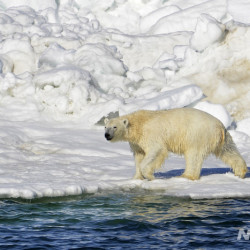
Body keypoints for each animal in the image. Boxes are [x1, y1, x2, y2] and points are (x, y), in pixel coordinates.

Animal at [104, 108, 247, 181]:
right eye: (106, 127)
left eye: (114, 127)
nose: (107, 135)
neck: (138, 123)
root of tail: (220, 126)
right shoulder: (136, 142)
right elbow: (139, 156)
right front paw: (136, 177)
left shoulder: (151, 134)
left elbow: (156, 151)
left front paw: (149, 175)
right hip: (221, 138)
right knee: (229, 151)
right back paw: (240, 172)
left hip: (197, 135)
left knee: (193, 156)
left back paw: (186, 175)